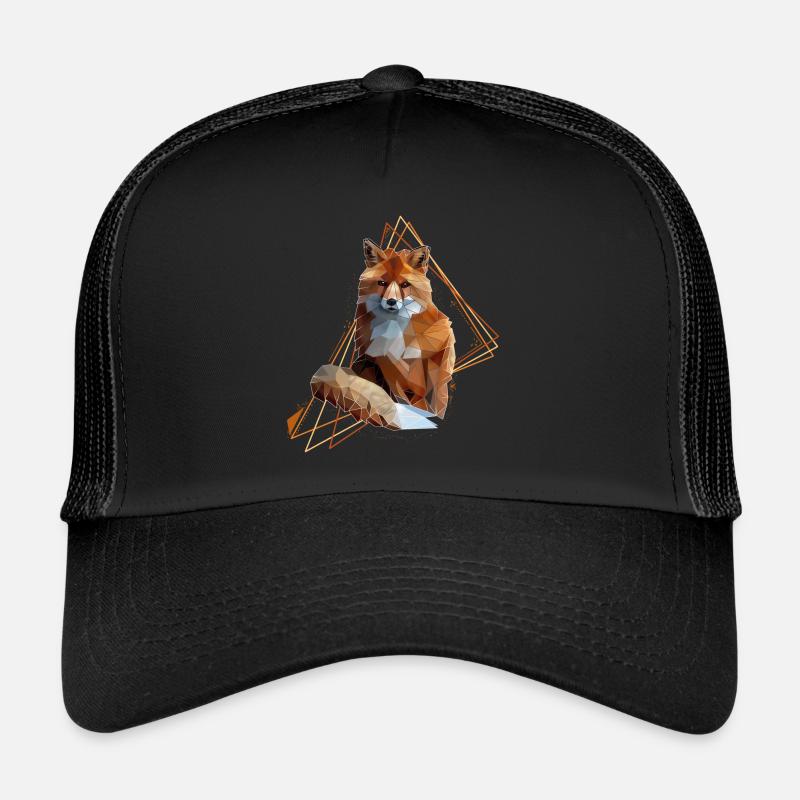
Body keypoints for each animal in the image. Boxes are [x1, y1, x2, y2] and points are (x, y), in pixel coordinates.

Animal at [311, 238, 456, 430]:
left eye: (404, 285)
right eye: (382, 283)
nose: (392, 301)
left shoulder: (434, 359)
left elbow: (433, 400)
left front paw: (434, 413)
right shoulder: (380, 361)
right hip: (364, 364)